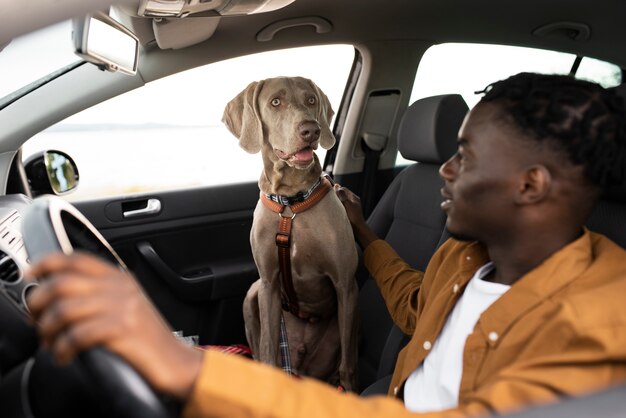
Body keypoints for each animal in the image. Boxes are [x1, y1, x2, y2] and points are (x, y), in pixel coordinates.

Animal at [221, 76, 356, 390]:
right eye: (275, 102)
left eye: (311, 100)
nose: (311, 129)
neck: (290, 204)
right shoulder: (269, 283)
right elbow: (269, 350)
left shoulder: (345, 284)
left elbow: (347, 366)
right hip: (253, 294)